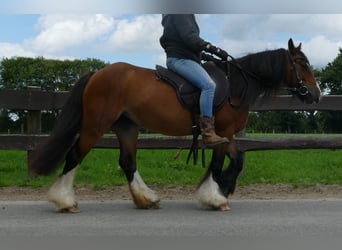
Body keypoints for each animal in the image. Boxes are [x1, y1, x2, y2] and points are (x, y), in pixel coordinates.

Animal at [29, 38, 320, 211]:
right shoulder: (222, 133)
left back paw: (146, 198)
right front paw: (217, 196)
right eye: (302, 64)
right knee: (74, 156)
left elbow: (231, 163)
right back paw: (65, 201)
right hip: (95, 126)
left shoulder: (226, 135)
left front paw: (221, 191)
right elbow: (223, 164)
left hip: (126, 126)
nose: (316, 94)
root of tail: (97, 74)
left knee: (127, 162)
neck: (237, 85)